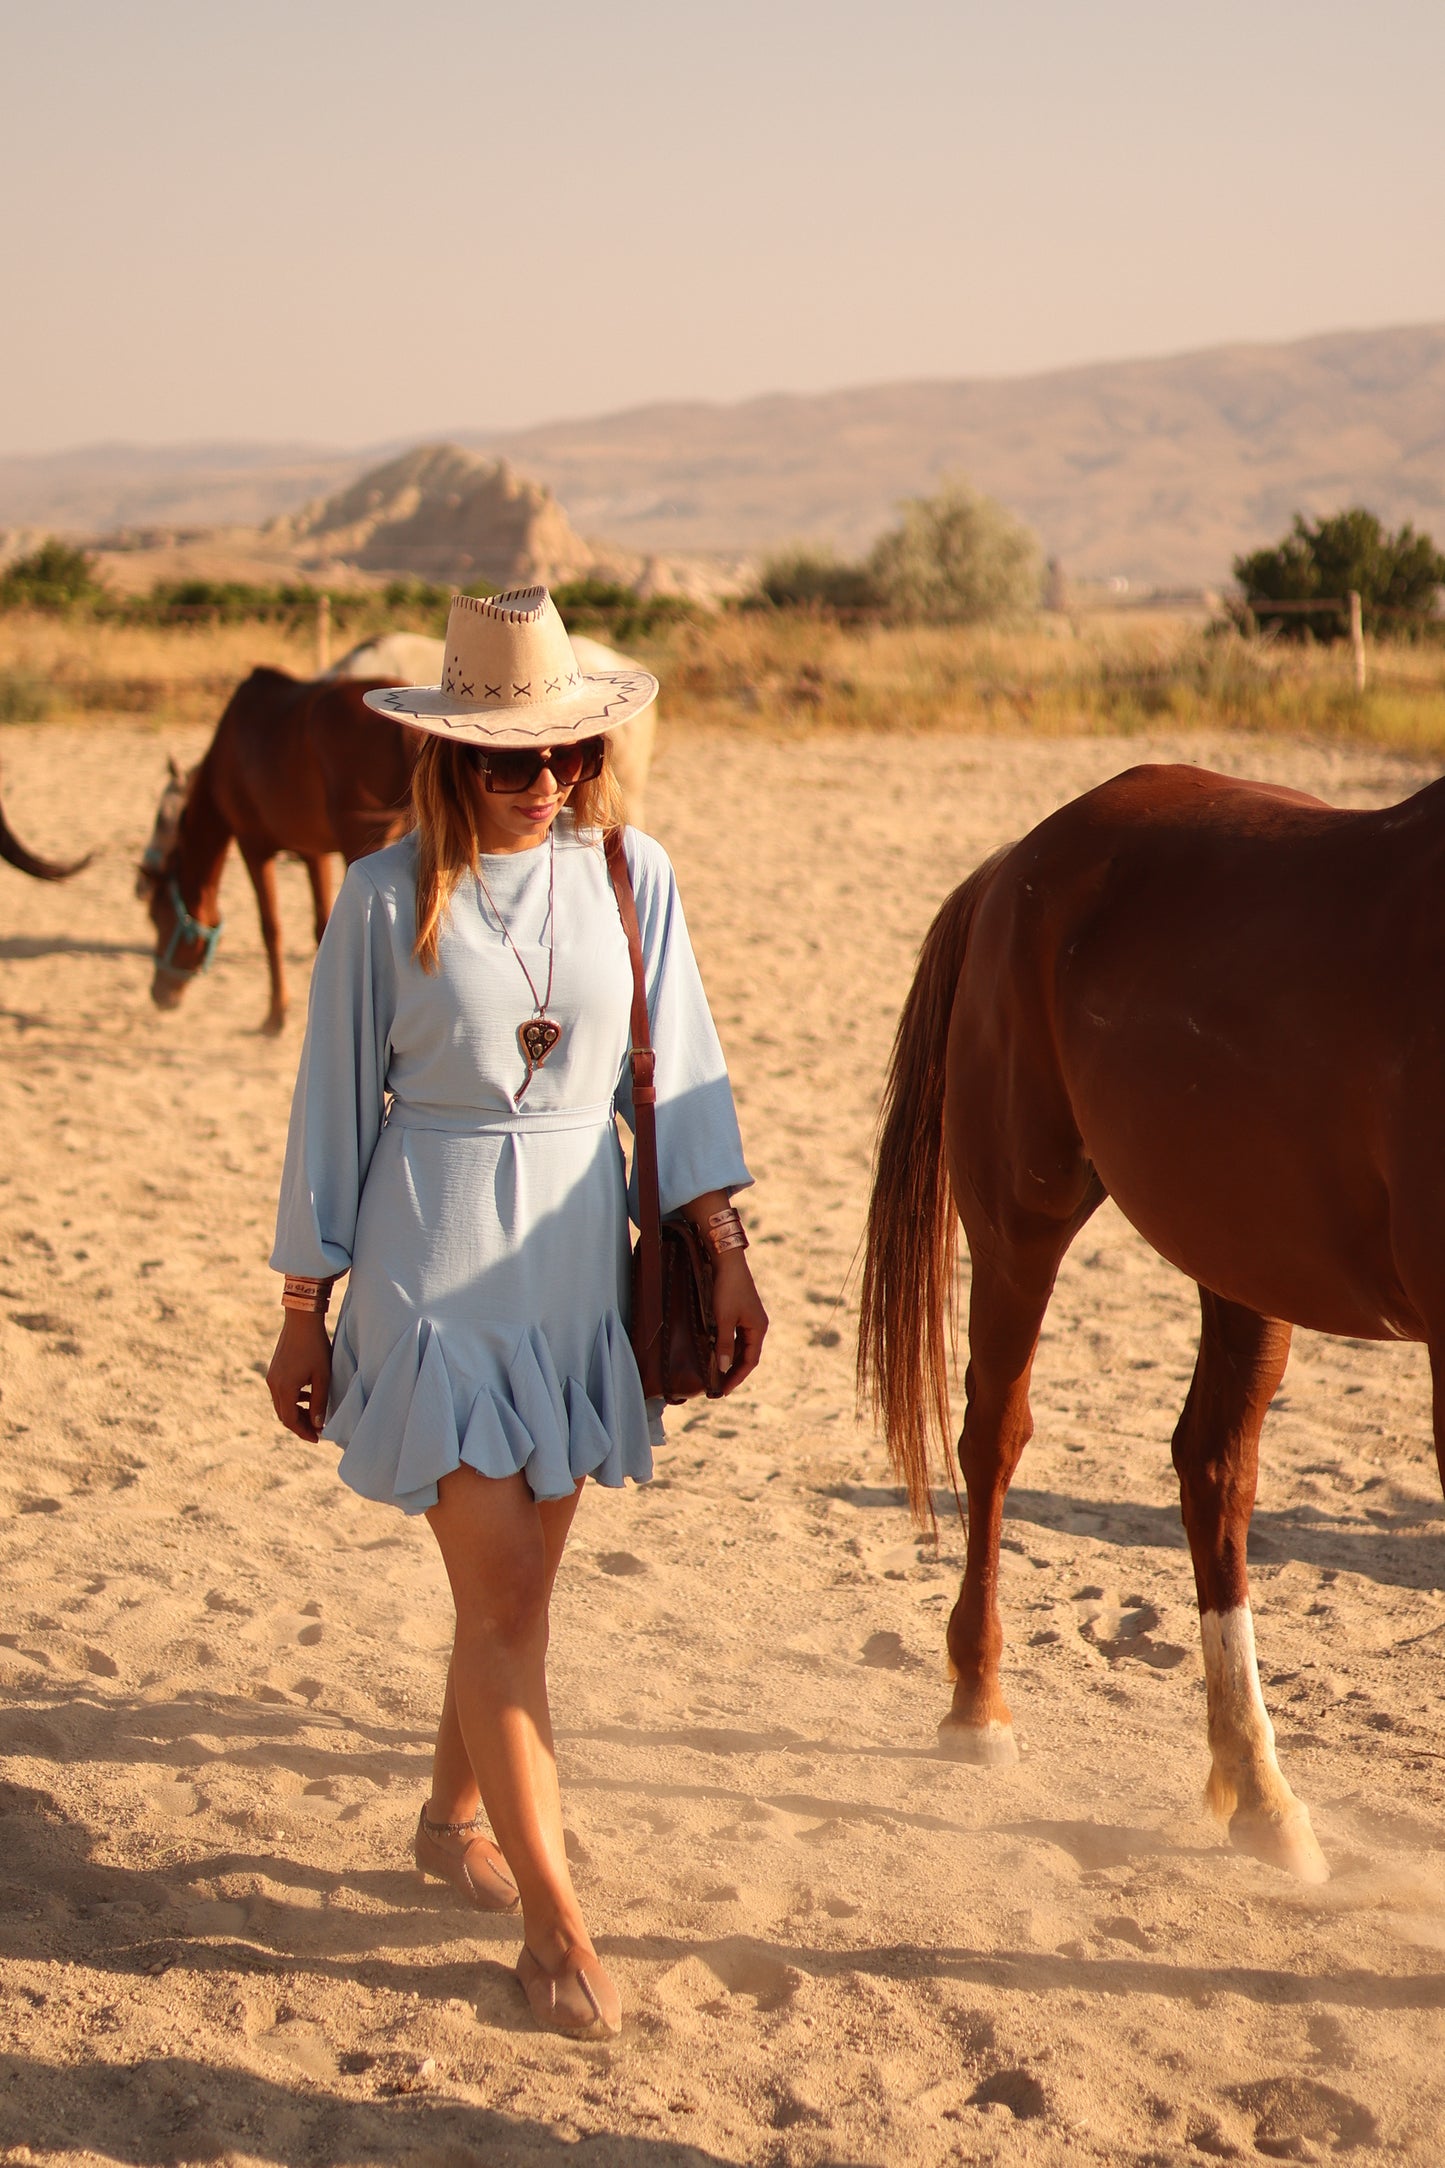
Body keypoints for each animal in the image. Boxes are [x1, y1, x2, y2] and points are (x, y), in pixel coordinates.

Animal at [139, 667, 411, 1031]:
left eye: (157, 917)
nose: (159, 993)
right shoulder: (313, 852)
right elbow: (322, 926)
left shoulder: (253, 848)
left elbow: (271, 928)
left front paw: (275, 1016)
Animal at [857, 767, 1445, 1881]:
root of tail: (1019, 861)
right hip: (1020, 1221)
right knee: (993, 1438)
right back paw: (977, 1709)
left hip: (1239, 1264)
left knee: (1212, 1473)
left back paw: (1257, 1791)